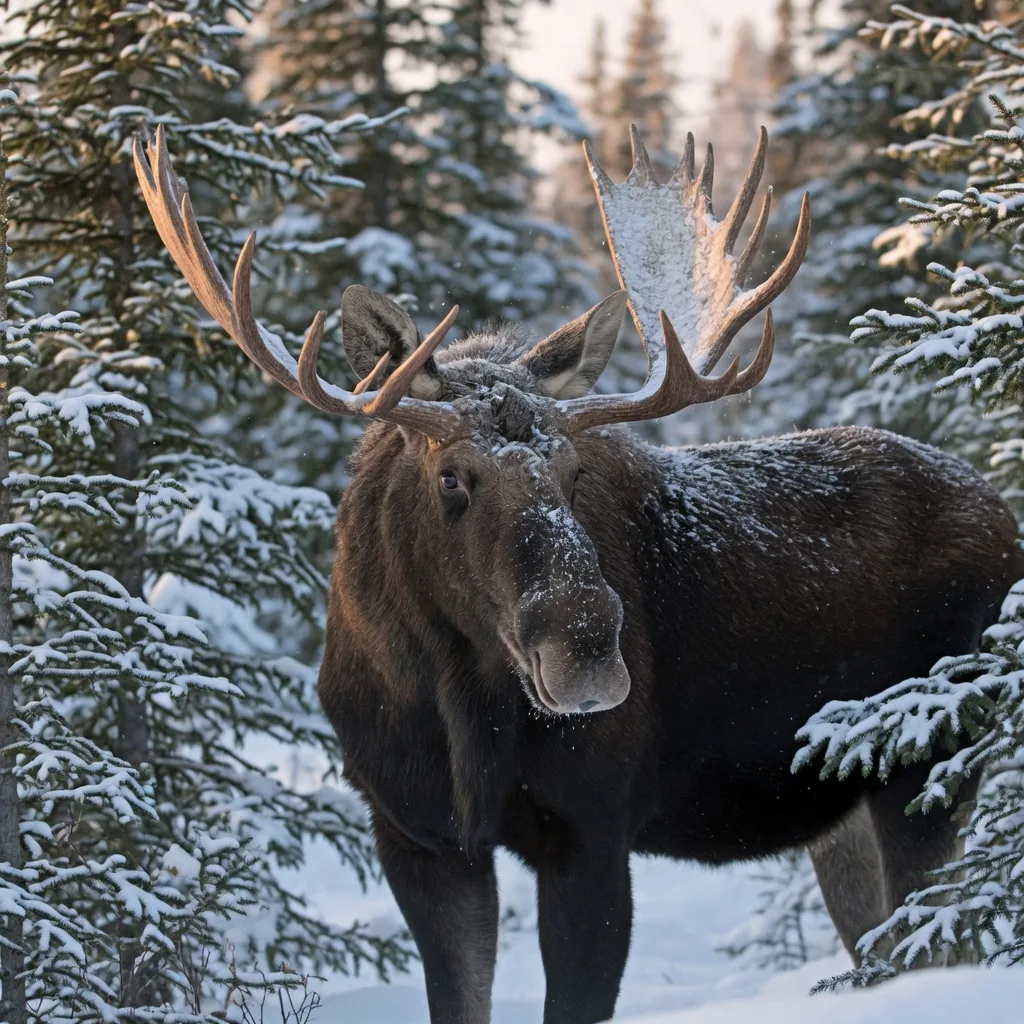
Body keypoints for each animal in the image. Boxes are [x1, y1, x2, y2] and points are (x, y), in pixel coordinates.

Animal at [135, 123, 1021, 1024]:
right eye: (451, 478)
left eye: (574, 472)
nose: (588, 644)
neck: (450, 708)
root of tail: (1005, 515)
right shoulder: (415, 833)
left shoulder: (592, 827)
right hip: (841, 808)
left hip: (931, 758)